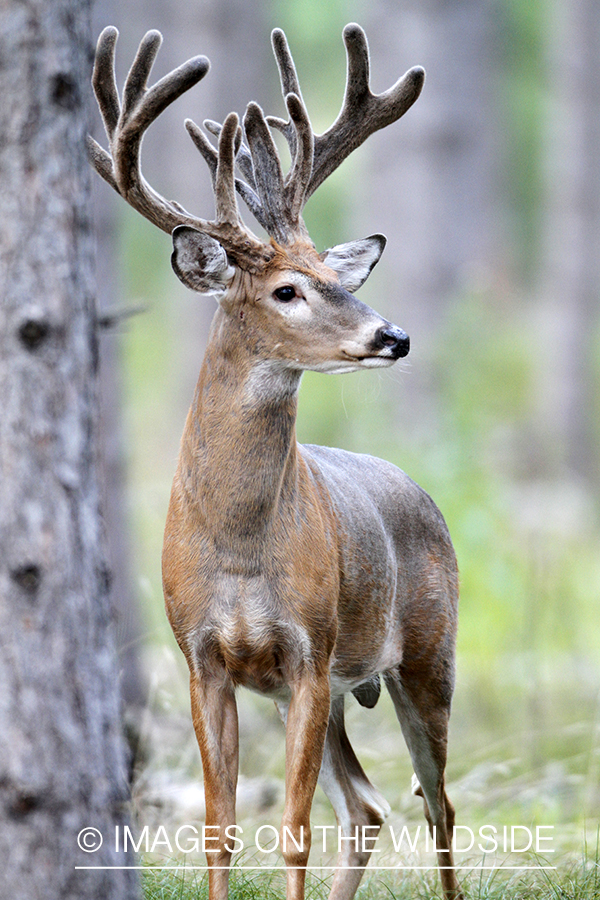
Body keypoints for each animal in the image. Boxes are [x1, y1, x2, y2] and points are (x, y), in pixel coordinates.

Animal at [90, 19, 464, 900]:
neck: (239, 545)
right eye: (287, 290)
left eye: (337, 273)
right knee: (367, 804)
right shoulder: (202, 656)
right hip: (340, 692)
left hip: (427, 653)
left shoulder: (309, 651)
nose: (394, 336)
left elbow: (292, 832)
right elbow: (220, 830)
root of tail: (420, 492)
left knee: (436, 803)